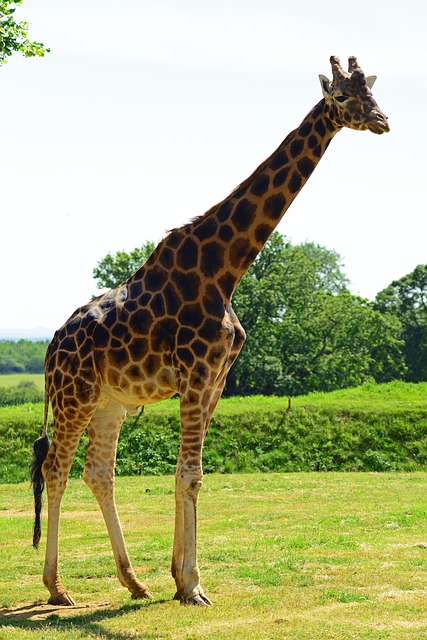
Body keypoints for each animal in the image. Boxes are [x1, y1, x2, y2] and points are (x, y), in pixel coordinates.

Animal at [31, 56, 389, 607]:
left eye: (371, 93)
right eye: (342, 98)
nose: (382, 121)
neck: (225, 267)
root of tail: (51, 345)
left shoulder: (217, 379)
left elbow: (191, 474)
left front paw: (179, 580)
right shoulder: (196, 375)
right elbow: (189, 474)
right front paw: (193, 584)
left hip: (110, 402)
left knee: (98, 473)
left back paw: (133, 581)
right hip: (76, 397)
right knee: (57, 470)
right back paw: (56, 587)